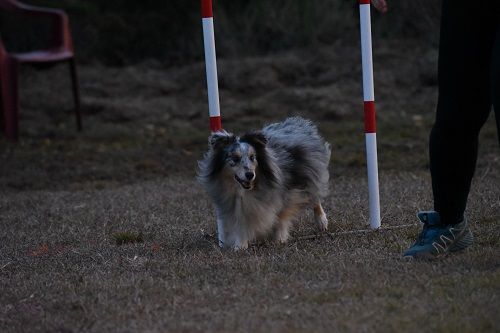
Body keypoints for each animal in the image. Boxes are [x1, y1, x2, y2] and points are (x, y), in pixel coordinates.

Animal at [196, 116, 332, 249]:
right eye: (235, 158)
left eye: (252, 157)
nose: (250, 175)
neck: (243, 190)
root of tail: (297, 122)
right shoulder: (234, 204)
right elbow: (241, 223)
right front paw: (240, 245)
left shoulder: (286, 193)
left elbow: (281, 216)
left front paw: (279, 239)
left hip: (311, 173)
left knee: (315, 196)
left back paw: (322, 222)